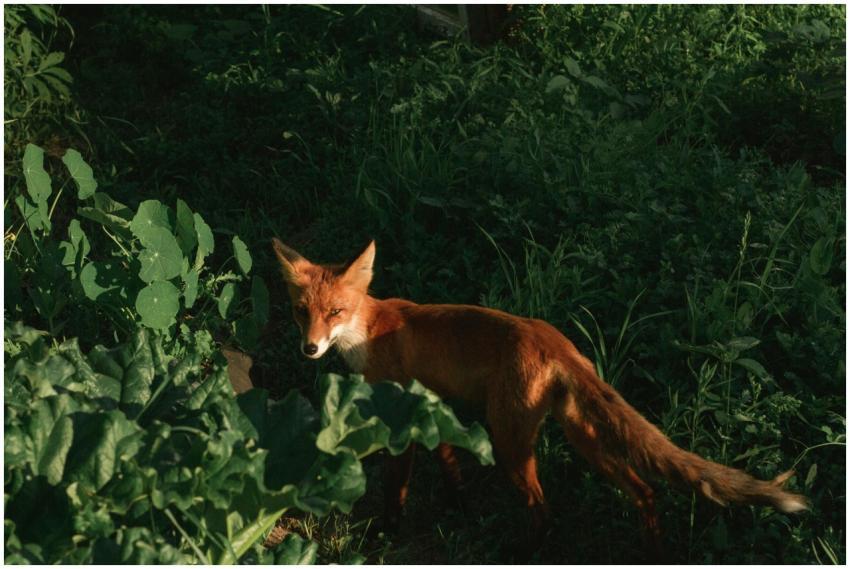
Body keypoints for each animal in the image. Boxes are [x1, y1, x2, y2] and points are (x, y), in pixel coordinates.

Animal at [271, 237, 807, 551]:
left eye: (336, 312)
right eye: (302, 311)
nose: (310, 348)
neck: (369, 332)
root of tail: (553, 340)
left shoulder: (400, 418)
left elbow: (395, 487)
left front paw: (388, 532)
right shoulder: (432, 409)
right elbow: (450, 466)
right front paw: (460, 506)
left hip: (510, 444)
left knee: (544, 510)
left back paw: (531, 548)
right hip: (584, 439)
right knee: (645, 489)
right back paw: (652, 548)